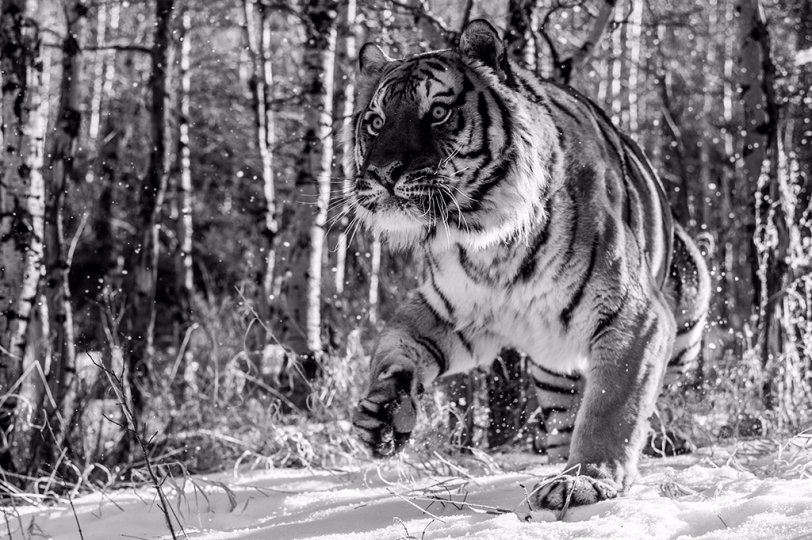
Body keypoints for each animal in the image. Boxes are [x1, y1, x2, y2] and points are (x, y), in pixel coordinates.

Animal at [347, 19, 711, 510]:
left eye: (437, 112)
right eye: (375, 122)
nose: (383, 172)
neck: (486, 240)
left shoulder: (637, 319)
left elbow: (613, 407)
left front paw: (587, 480)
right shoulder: (450, 311)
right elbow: (394, 346)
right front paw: (383, 414)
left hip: (687, 325)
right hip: (553, 370)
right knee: (563, 417)